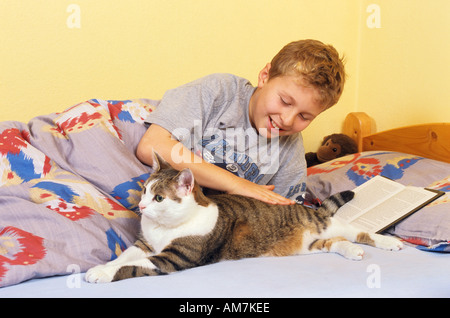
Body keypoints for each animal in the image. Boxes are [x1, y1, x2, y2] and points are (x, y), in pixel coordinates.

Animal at [85, 152, 404, 284]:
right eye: (144, 190)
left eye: (159, 198)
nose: (141, 206)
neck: (164, 229)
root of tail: (310, 210)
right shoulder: (145, 244)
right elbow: (124, 257)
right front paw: (102, 266)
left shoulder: (174, 257)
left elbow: (130, 266)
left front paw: (100, 274)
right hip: (307, 245)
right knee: (334, 243)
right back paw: (352, 252)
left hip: (327, 223)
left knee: (358, 231)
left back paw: (389, 243)